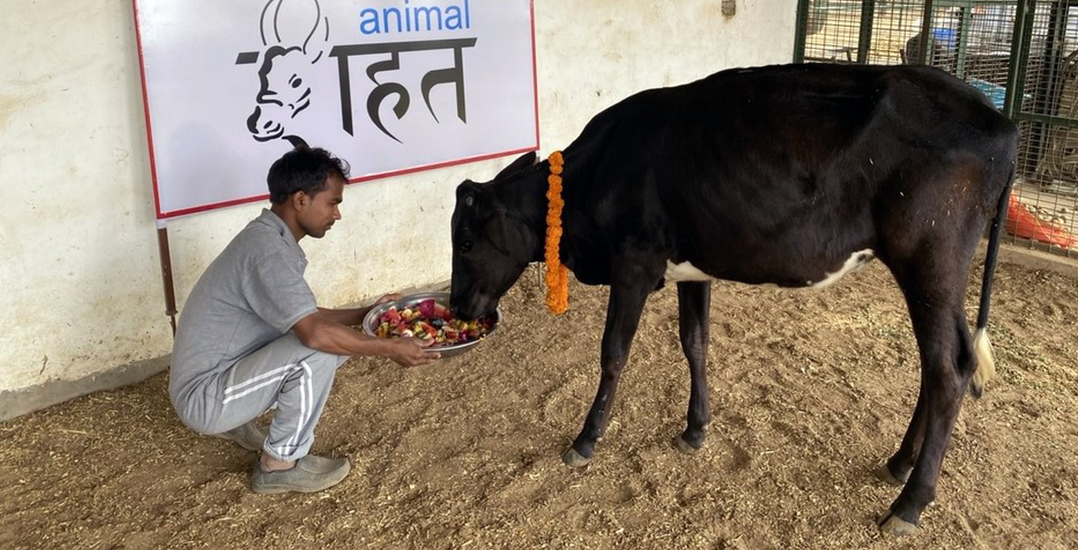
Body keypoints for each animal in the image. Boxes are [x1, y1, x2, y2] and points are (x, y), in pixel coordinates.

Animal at [448, 62, 1017, 534]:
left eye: (466, 241)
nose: (456, 307)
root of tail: (1000, 120)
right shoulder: (690, 267)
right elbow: (694, 342)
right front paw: (694, 429)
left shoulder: (634, 261)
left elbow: (613, 353)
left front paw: (585, 440)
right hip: (931, 274)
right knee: (937, 364)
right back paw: (898, 464)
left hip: (930, 260)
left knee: (949, 367)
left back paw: (910, 502)